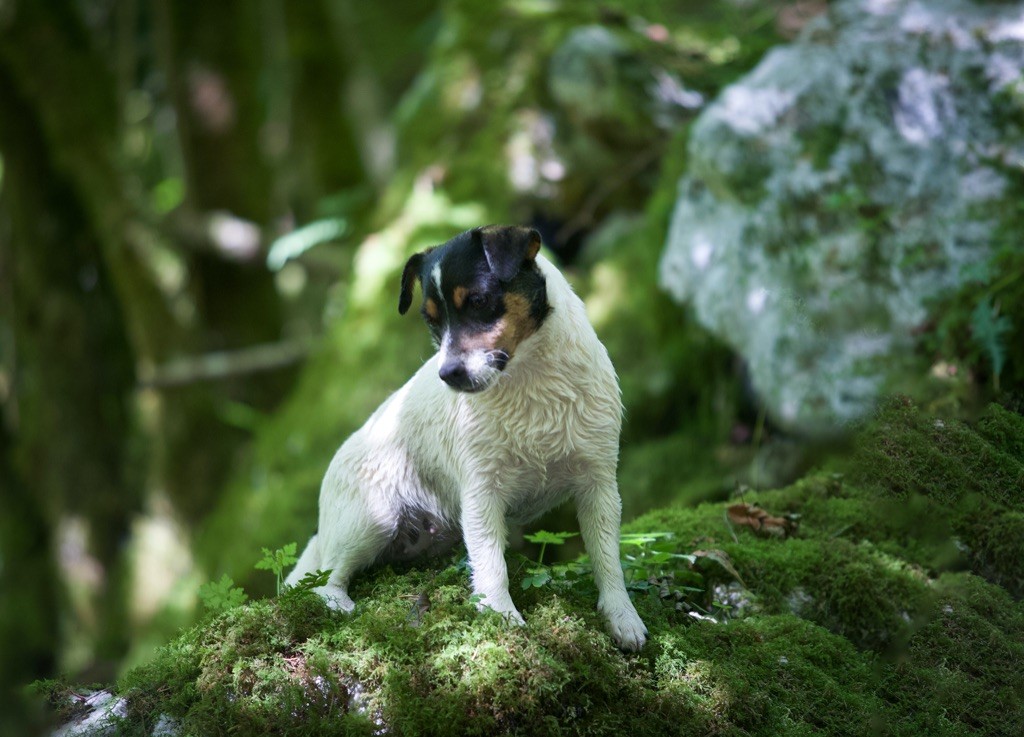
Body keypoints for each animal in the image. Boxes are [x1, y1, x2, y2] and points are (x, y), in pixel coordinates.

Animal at [284, 223, 643, 651]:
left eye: (479, 300)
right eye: (430, 320)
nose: (448, 373)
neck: (529, 383)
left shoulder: (598, 484)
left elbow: (607, 559)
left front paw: (622, 616)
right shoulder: (481, 493)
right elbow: (491, 563)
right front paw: (502, 616)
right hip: (371, 519)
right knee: (323, 581)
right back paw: (339, 602)